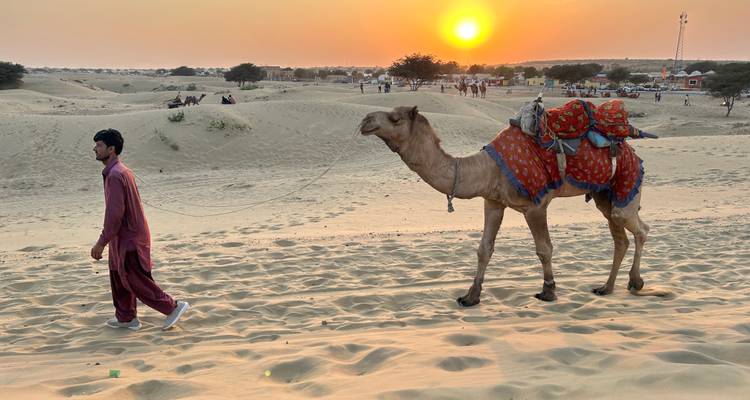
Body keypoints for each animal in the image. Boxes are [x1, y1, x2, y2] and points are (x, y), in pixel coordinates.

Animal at [359, 106, 649, 306]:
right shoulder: (493, 202)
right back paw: (606, 287)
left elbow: (544, 249)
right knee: (620, 236)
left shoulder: (536, 206)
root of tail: (633, 151)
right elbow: (484, 249)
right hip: (604, 195)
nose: (365, 120)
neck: (488, 168)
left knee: (639, 228)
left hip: (626, 183)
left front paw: (548, 290)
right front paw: (470, 296)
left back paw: (635, 282)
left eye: (395, 118)